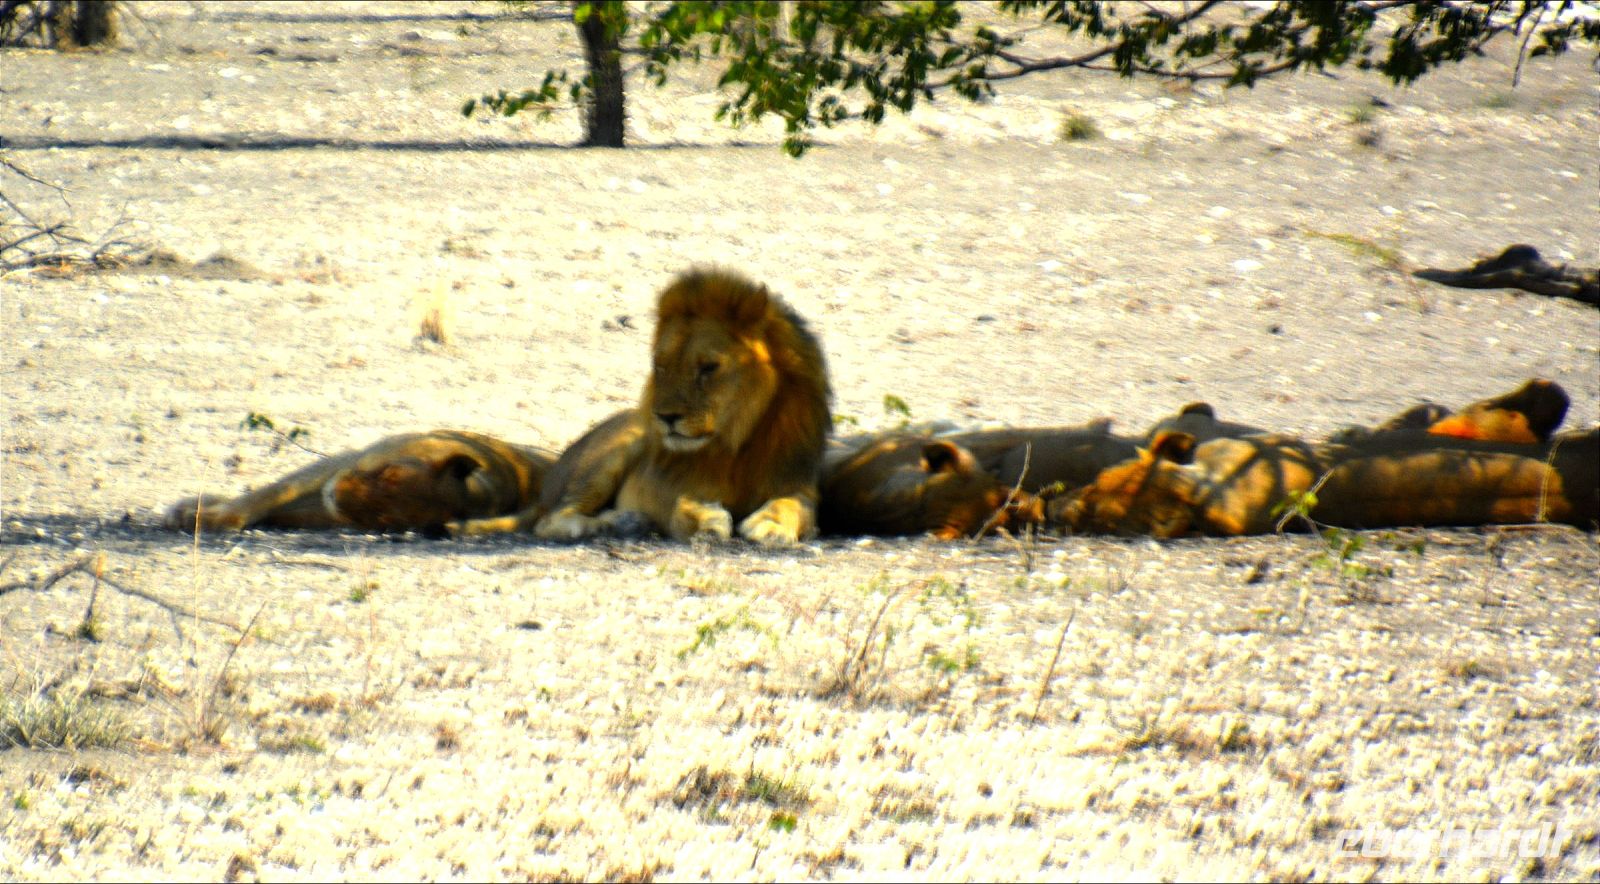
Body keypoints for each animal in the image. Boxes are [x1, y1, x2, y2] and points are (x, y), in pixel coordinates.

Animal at [163, 430, 554, 536]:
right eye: (387, 473)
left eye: (381, 520)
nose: (336, 495)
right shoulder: (349, 459)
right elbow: (270, 492)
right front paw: (206, 514)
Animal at [523, 268, 831, 546]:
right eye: (661, 366)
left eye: (708, 367)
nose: (665, 417)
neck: (735, 444)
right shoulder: (670, 488)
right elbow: (684, 505)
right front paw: (707, 521)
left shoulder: (797, 485)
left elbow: (793, 506)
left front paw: (772, 526)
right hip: (612, 453)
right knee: (554, 518)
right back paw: (619, 522)